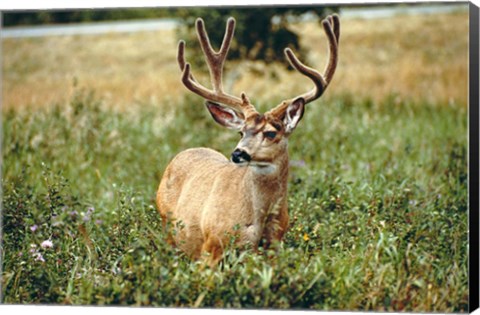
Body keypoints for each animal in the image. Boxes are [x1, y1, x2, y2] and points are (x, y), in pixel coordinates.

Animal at [156, 14, 340, 266]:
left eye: (271, 133)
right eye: (241, 132)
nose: (238, 153)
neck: (258, 221)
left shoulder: (274, 246)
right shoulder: (211, 246)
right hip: (168, 230)